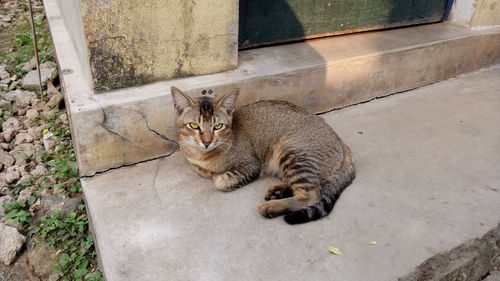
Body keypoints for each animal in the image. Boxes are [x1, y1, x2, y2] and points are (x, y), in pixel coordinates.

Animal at [172, 86, 356, 223]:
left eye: (218, 126)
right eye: (194, 125)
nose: (207, 142)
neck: (202, 156)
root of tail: (344, 145)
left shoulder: (252, 165)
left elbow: (220, 181)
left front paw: (216, 176)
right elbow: (202, 171)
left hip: (293, 151)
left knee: (312, 195)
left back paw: (273, 206)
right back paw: (279, 192)